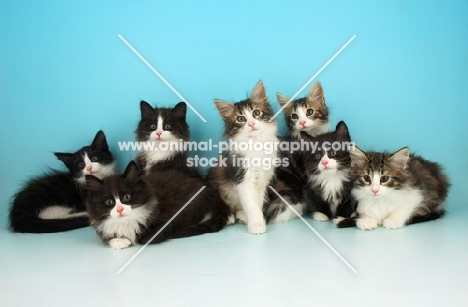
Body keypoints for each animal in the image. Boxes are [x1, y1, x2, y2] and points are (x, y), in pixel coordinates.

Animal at [86, 161, 230, 250]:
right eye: (109, 202)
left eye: (126, 197)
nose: (120, 209)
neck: (126, 222)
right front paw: (119, 241)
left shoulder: (168, 220)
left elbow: (145, 239)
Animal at [208, 80, 282, 235]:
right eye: (241, 118)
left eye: (256, 113)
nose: (252, 123)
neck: (256, 143)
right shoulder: (243, 177)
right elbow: (251, 204)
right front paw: (257, 225)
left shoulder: (262, 180)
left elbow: (257, 203)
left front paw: (255, 220)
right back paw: (230, 217)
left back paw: (242, 215)